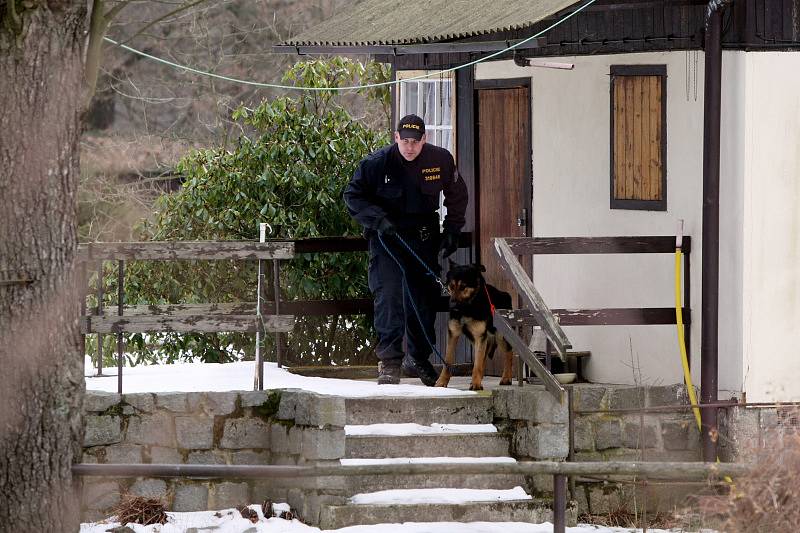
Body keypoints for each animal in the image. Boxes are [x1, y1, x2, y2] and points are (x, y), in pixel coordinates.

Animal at [434, 262, 516, 390]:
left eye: (463, 287)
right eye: (451, 286)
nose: (452, 307)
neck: (467, 307)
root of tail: (505, 294)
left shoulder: (479, 336)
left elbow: (477, 364)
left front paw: (476, 384)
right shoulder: (453, 334)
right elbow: (447, 361)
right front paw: (441, 383)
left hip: (500, 336)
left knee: (508, 353)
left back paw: (506, 378)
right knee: (484, 356)